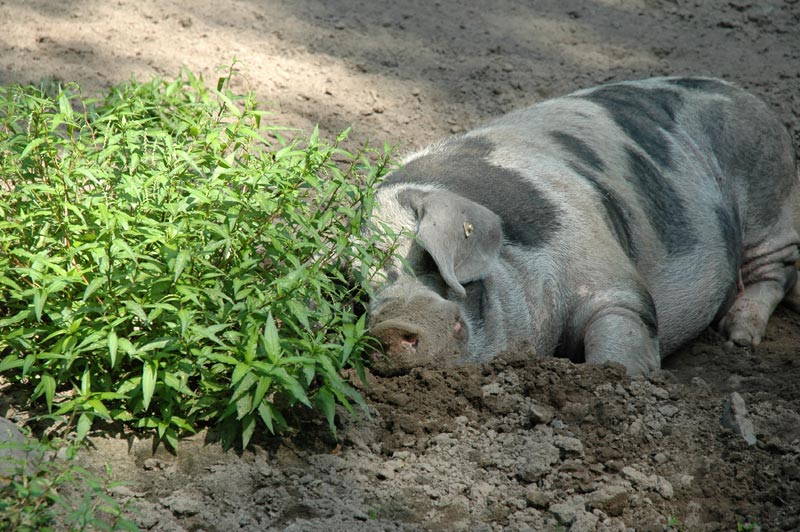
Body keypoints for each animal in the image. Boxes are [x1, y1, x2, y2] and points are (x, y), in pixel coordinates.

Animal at [368, 77, 800, 376]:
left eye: (432, 261)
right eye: (358, 293)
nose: (391, 325)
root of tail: (746, 96)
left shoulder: (609, 272)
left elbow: (622, 331)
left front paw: (621, 380)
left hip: (770, 203)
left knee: (776, 271)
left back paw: (738, 337)